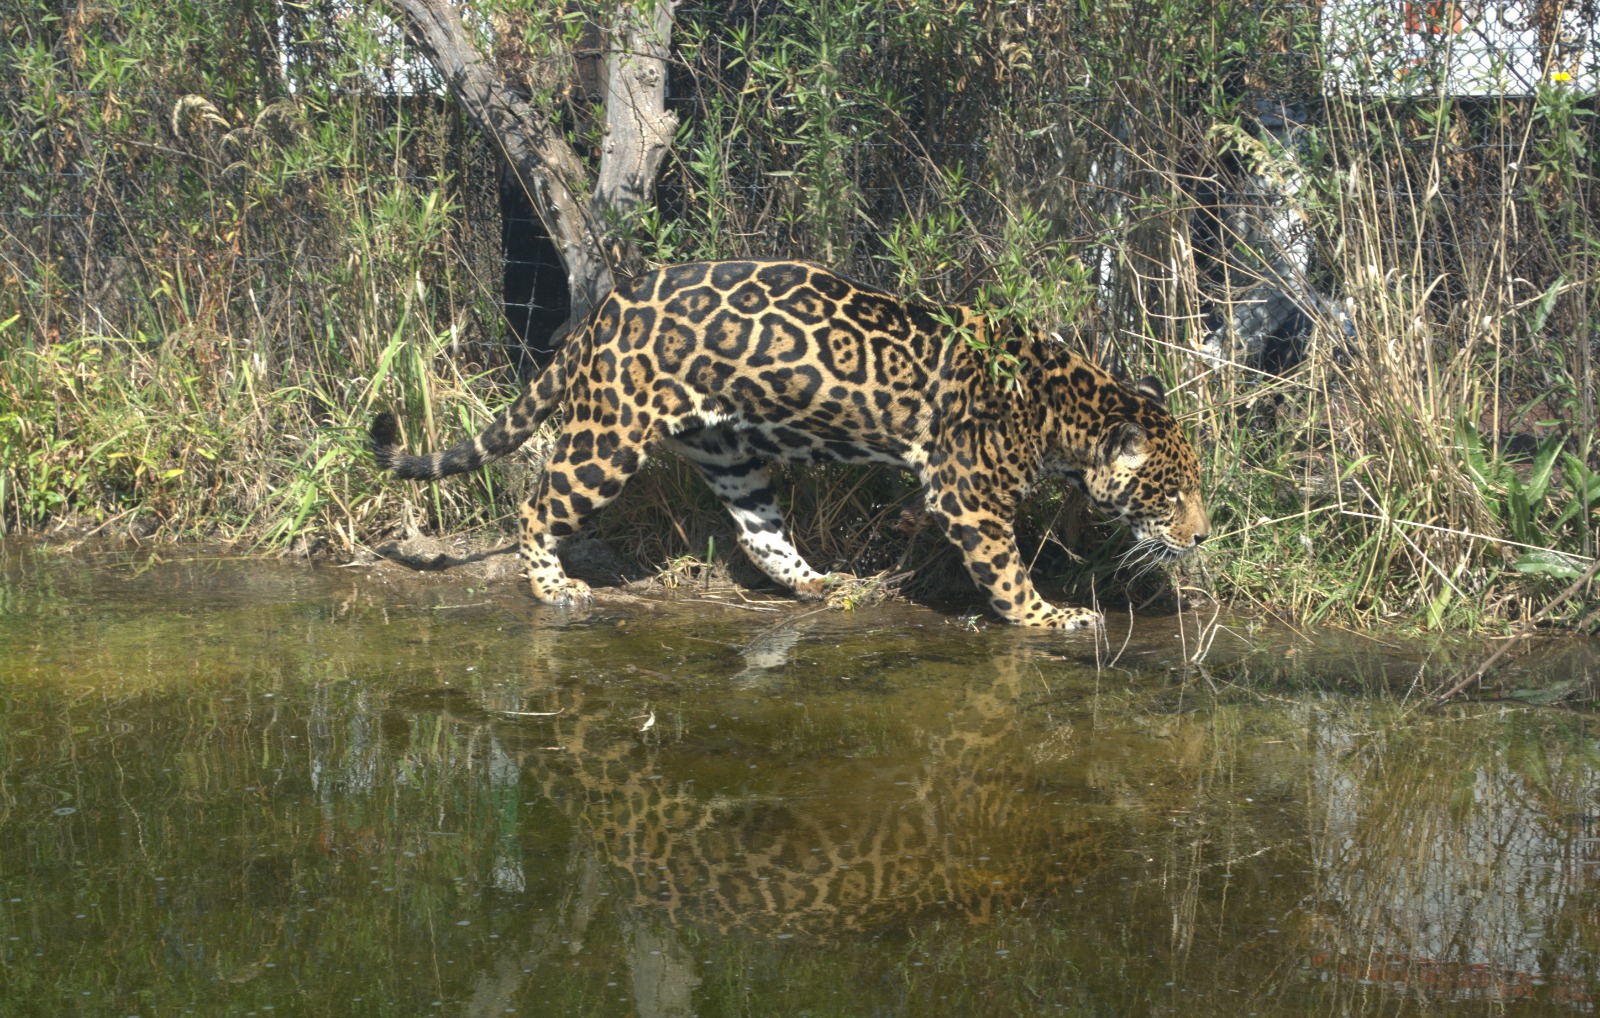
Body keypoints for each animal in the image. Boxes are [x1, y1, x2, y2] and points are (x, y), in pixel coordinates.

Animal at [369, 259, 1209, 628]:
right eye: (1172, 495)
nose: (1203, 537)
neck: (1065, 406)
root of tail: (605, 308)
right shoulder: (967, 495)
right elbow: (1004, 571)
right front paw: (1049, 618)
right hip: (607, 436)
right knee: (540, 504)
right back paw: (553, 588)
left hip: (725, 450)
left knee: (758, 531)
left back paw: (818, 585)